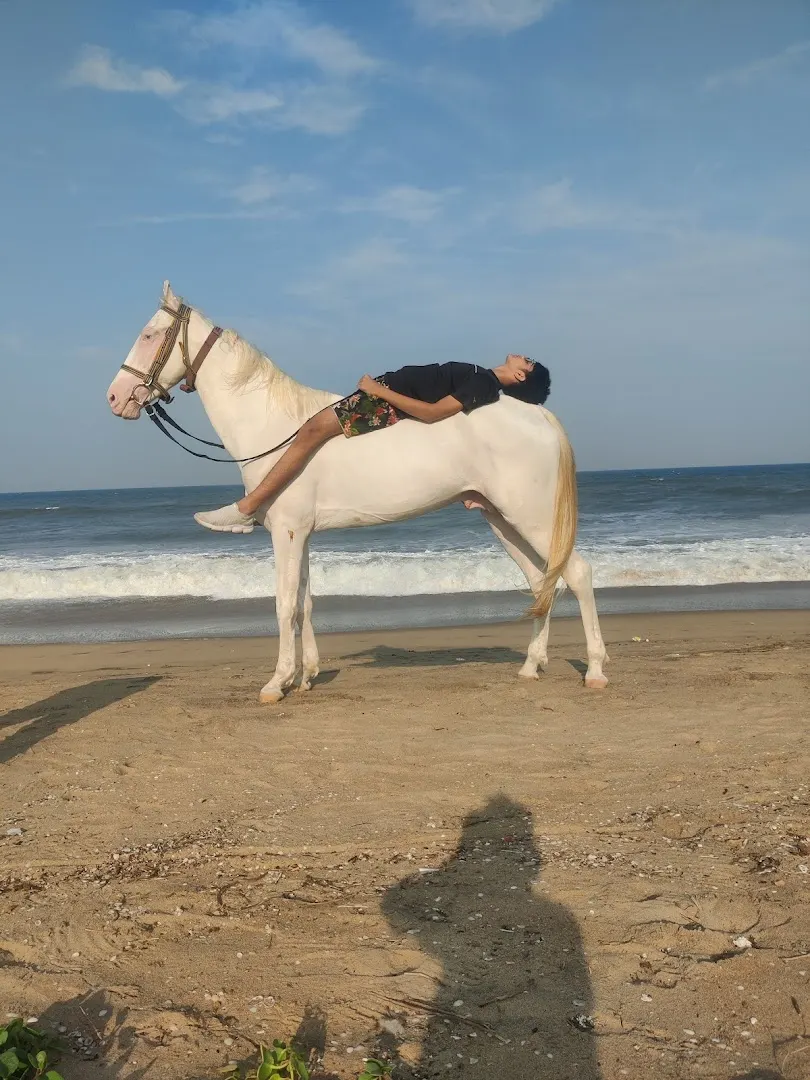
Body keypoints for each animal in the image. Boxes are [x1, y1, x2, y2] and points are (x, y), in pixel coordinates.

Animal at [106, 282, 608, 702]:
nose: (115, 397)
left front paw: (276, 682)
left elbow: (284, 603)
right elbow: (304, 602)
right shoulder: (302, 534)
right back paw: (530, 666)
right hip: (500, 518)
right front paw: (305, 677)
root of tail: (540, 415)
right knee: (541, 582)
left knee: (578, 574)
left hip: (532, 515)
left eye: (149, 335)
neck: (274, 426)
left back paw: (596, 671)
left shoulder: (286, 532)